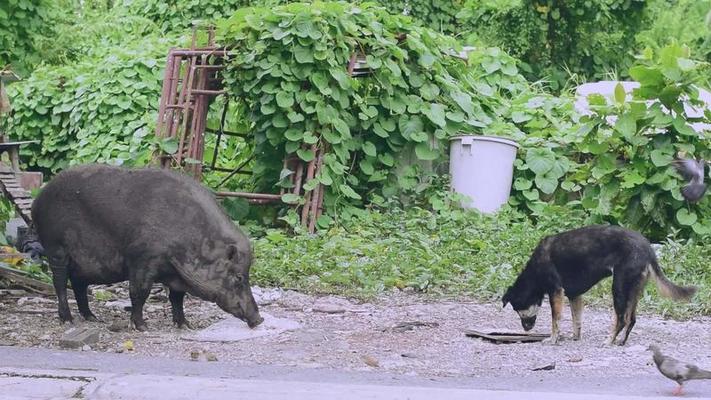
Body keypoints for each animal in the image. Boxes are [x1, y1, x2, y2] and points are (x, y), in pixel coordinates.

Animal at [504, 227, 700, 346]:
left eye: (517, 309)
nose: (525, 329)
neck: (534, 273)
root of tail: (647, 249)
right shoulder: (574, 296)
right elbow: (577, 320)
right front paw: (575, 337)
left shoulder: (556, 292)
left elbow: (556, 320)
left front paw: (553, 339)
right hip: (633, 291)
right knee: (631, 319)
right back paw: (620, 342)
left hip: (619, 287)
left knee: (621, 319)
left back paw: (609, 341)